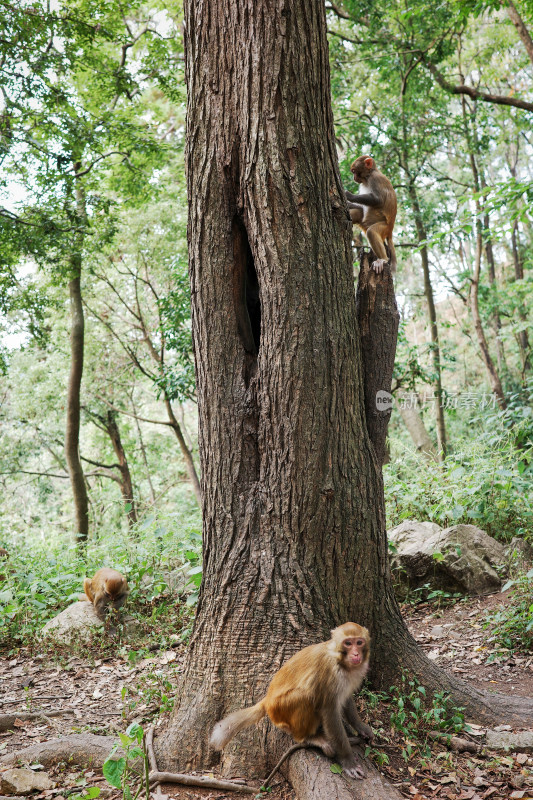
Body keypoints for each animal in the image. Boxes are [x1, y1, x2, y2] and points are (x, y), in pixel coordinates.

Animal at [210, 620, 372, 780]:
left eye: (359, 642)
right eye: (348, 643)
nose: (356, 653)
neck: (340, 661)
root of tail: (267, 700)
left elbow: (346, 700)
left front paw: (361, 728)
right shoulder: (329, 674)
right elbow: (329, 710)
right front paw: (348, 761)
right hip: (280, 710)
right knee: (305, 696)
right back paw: (308, 738)